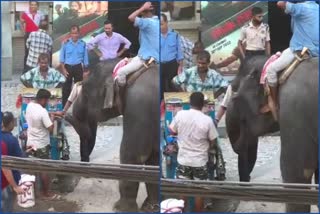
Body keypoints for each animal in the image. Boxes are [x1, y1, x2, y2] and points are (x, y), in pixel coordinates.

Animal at [66, 58, 160, 212]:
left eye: (85, 91)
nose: (65, 115)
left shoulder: (138, 110)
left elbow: (132, 153)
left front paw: (120, 208)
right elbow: (153, 158)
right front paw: (150, 207)